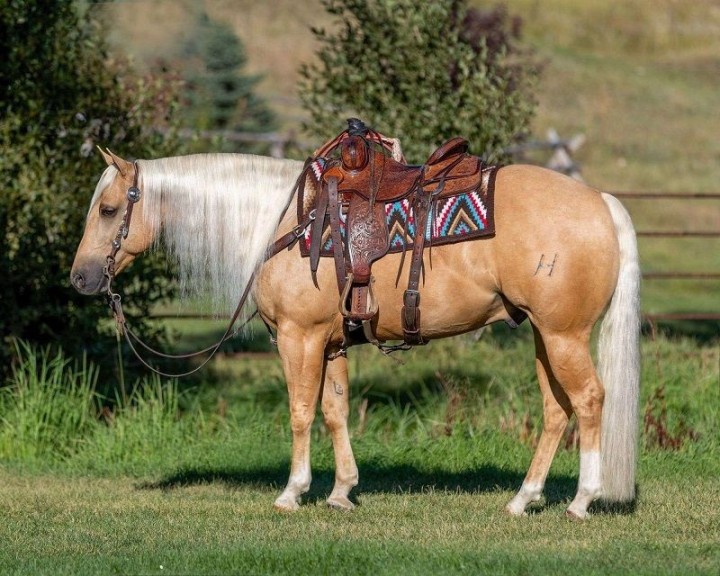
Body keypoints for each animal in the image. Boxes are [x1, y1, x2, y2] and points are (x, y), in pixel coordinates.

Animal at [70, 145, 640, 519]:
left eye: (108, 209)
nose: (81, 278)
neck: (284, 223)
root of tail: (602, 201)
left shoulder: (298, 338)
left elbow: (301, 412)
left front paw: (293, 491)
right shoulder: (331, 342)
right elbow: (335, 411)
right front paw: (341, 491)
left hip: (564, 336)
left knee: (589, 400)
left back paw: (581, 501)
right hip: (545, 337)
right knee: (556, 410)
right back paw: (523, 499)